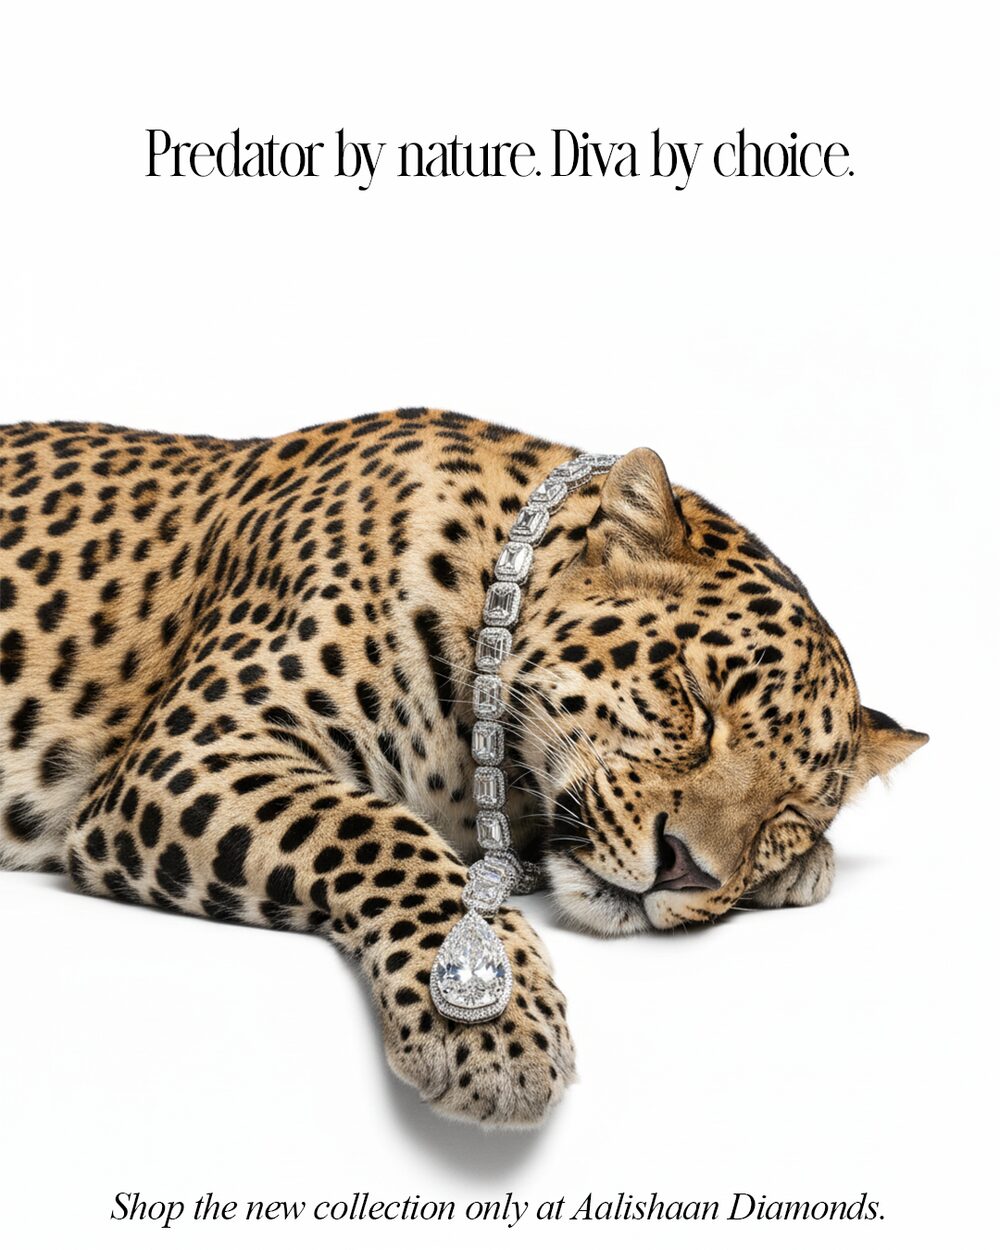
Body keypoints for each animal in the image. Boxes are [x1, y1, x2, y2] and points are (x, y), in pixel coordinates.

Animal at [0, 409, 926, 1127]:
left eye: (787, 815)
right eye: (696, 695)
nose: (683, 869)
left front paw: (801, 869)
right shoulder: (197, 744)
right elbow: (378, 831)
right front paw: (498, 1033)